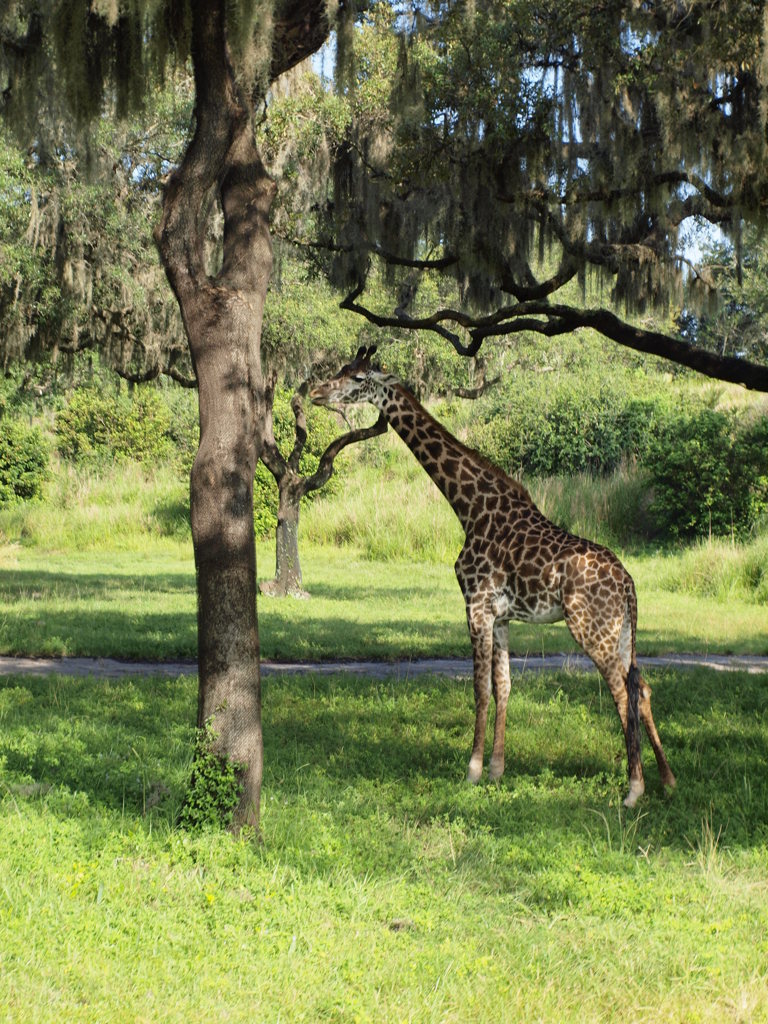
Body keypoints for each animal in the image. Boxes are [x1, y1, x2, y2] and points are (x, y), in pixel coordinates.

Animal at [309, 346, 675, 806]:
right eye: (342, 370)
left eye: (357, 379)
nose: (315, 392)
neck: (468, 507)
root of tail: (628, 583)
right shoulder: (500, 615)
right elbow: (504, 686)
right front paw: (498, 769)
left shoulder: (476, 604)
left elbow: (480, 688)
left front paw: (473, 769)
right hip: (621, 628)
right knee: (642, 686)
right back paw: (667, 778)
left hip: (591, 628)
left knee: (622, 691)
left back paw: (633, 788)